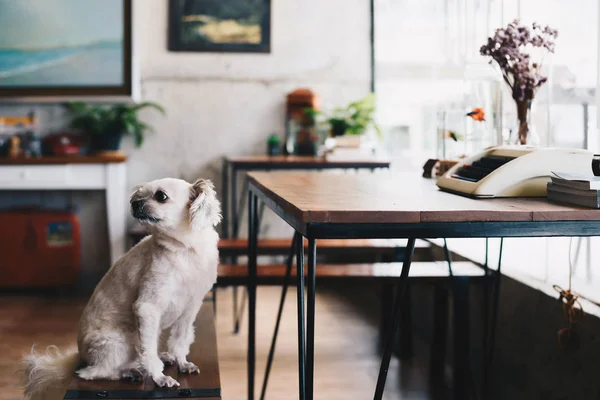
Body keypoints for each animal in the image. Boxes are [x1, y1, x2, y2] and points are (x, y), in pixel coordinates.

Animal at [22, 179, 223, 400]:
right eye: (137, 195)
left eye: (161, 196)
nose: (134, 203)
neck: (185, 250)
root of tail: (80, 355)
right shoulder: (147, 308)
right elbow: (149, 352)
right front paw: (160, 377)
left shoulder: (189, 309)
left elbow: (180, 339)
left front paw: (181, 362)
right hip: (122, 342)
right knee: (93, 372)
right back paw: (129, 373)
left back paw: (158, 358)